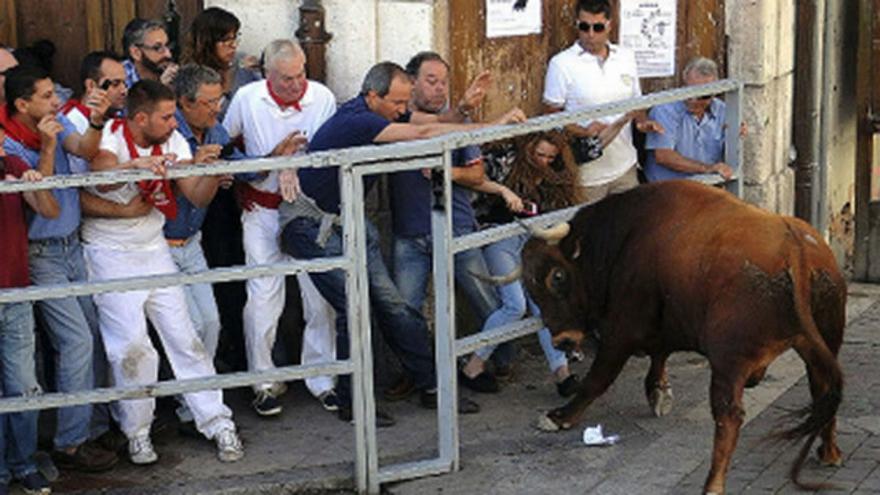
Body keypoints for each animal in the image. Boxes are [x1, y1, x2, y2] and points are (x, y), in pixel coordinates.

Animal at [524, 181, 844, 495]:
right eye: (529, 288)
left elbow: (596, 380)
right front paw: (658, 391)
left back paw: (713, 484)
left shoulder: (619, 333)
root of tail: (796, 248)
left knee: (729, 416)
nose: (563, 342)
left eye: (557, 276)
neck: (624, 237)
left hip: (728, 363)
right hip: (822, 346)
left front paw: (559, 417)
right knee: (823, 392)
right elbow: (659, 355)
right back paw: (829, 452)